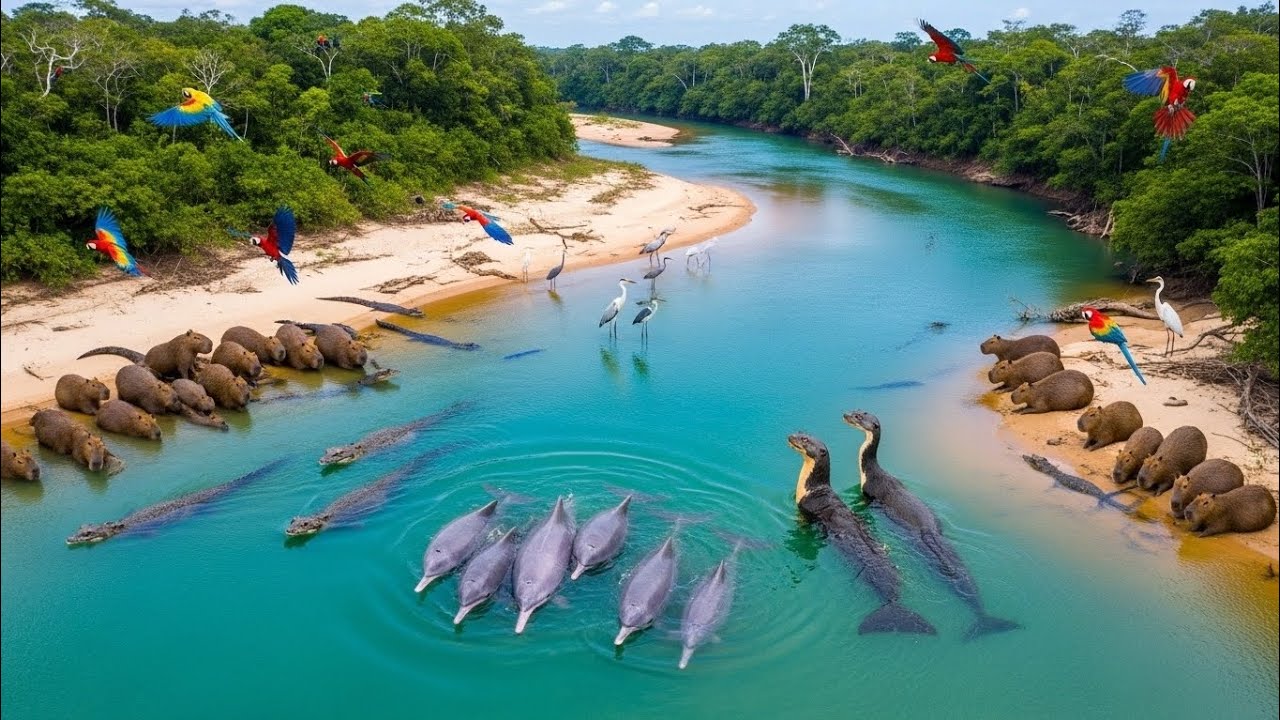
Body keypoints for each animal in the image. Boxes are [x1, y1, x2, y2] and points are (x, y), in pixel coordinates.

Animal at [786, 432, 935, 635]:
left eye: (805, 440)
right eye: (801, 432)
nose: (791, 436)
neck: (811, 489)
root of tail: (893, 604)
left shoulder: (804, 509)